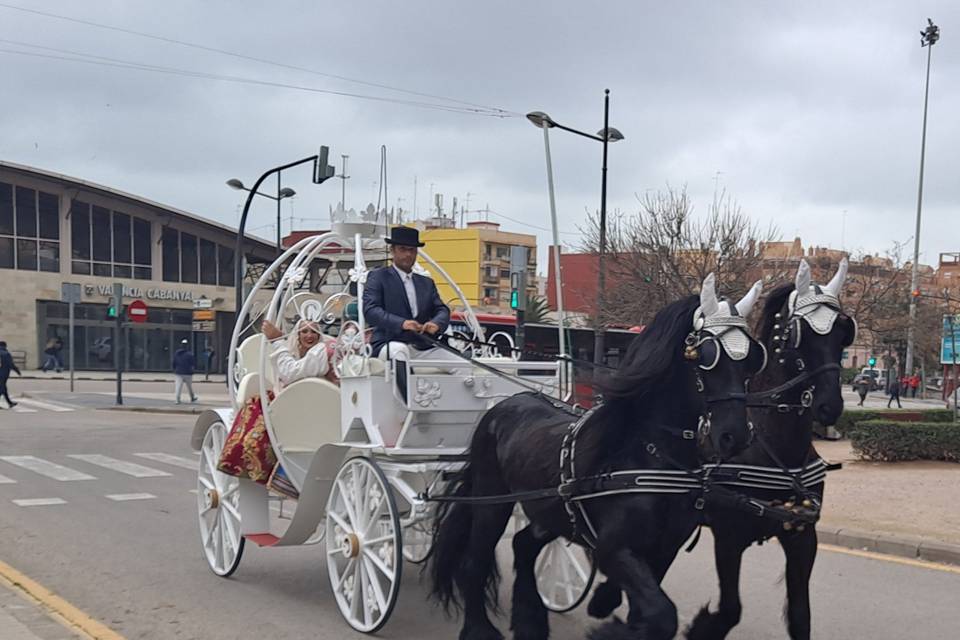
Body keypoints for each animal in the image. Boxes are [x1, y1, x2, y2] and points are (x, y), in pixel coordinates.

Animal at [428, 278, 764, 640]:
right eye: (706, 355)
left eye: (753, 358)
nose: (734, 435)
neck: (654, 458)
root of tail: (505, 404)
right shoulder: (614, 549)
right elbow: (662, 615)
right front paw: (610, 625)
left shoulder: (664, 550)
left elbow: (648, 612)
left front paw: (607, 605)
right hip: (492, 501)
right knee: (474, 563)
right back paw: (479, 627)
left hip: (551, 511)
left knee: (523, 545)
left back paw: (530, 621)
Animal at [684, 258, 856, 640]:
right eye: (800, 334)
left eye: (843, 331)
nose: (830, 406)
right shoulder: (729, 538)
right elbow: (730, 610)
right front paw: (700, 625)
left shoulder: (802, 536)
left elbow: (801, 616)